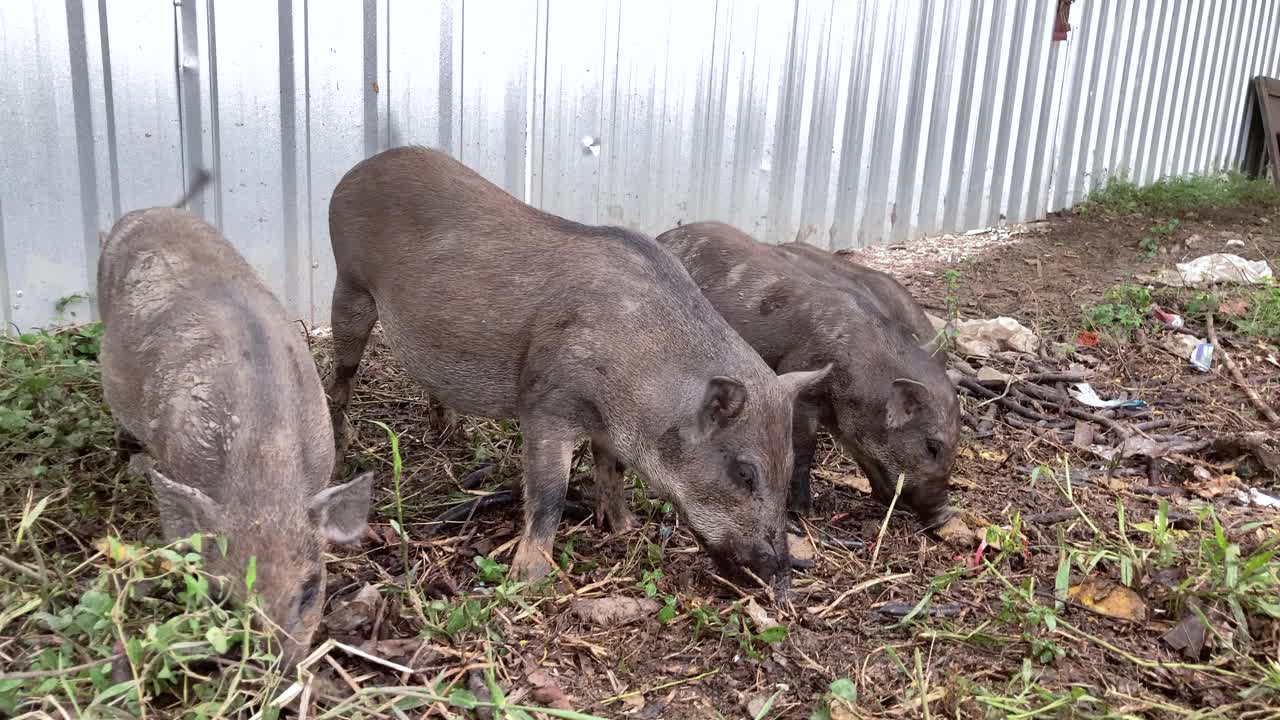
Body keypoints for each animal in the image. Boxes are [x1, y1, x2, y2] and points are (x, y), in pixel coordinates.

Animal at [327, 144, 829, 589]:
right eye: (745, 473)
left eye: (788, 464)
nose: (781, 573)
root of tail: (354, 172)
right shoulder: (545, 405)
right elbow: (550, 493)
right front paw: (528, 578)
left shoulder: (608, 430)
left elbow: (613, 473)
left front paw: (623, 528)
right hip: (348, 287)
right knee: (339, 381)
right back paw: (342, 459)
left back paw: (451, 434)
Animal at [655, 221, 957, 525]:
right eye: (932, 446)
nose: (945, 515)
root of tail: (666, 235)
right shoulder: (801, 382)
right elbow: (803, 448)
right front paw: (802, 513)